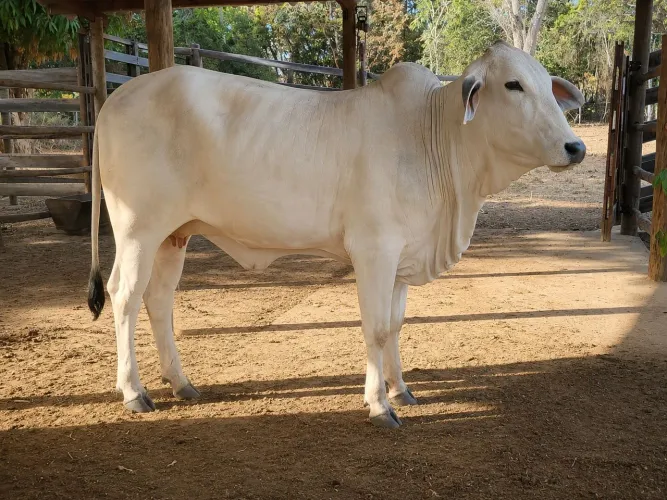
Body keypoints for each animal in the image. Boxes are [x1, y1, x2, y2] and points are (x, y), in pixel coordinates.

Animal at [87, 41, 585, 428]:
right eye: (513, 85)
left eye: (548, 86)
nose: (575, 147)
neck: (435, 139)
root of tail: (114, 99)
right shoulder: (374, 250)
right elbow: (376, 327)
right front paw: (379, 404)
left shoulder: (403, 257)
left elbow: (396, 324)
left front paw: (402, 389)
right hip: (138, 229)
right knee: (125, 296)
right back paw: (134, 392)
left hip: (174, 234)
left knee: (159, 300)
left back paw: (180, 382)